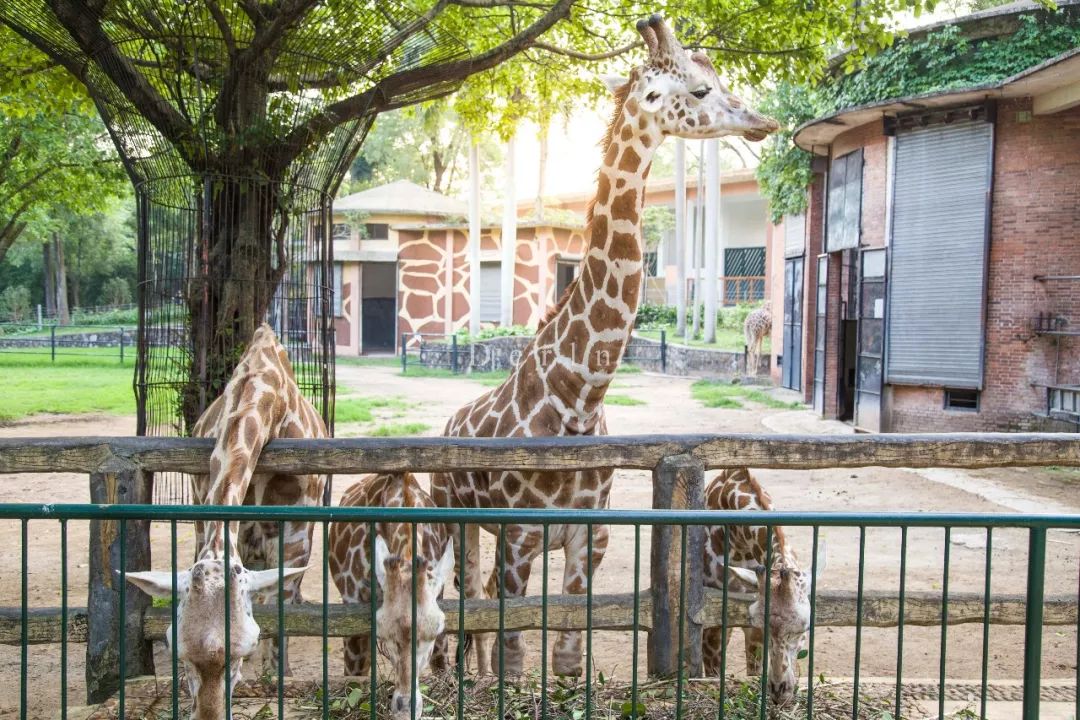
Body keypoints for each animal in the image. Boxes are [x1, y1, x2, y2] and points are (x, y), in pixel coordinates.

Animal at [127, 325, 328, 720]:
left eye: (243, 649)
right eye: (178, 651)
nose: (210, 714)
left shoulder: (295, 536)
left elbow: (280, 612)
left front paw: (278, 676)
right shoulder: (204, 515)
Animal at [427, 12, 777, 682]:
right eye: (699, 89)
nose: (762, 121)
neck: (576, 399)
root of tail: (448, 424)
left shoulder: (591, 536)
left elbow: (566, 656)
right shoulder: (520, 537)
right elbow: (517, 656)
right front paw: (496, 680)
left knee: (475, 599)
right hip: (452, 515)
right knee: (461, 596)